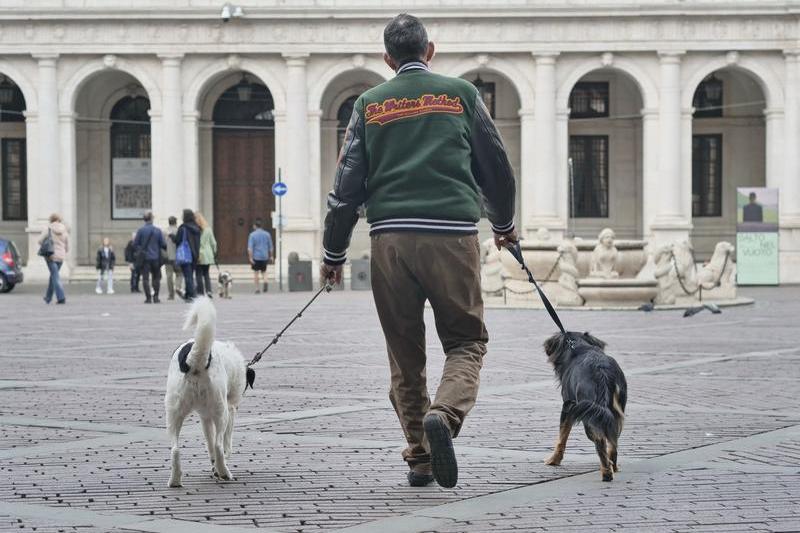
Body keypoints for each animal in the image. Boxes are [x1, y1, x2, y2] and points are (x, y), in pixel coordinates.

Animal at [166, 296, 256, 486]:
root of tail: (194, 359)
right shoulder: (230, 409)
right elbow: (225, 443)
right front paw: (218, 467)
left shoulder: (205, 417)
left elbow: (209, 441)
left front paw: (213, 466)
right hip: (221, 411)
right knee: (219, 445)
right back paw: (225, 472)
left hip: (173, 412)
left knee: (175, 449)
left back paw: (175, 479)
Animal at [544, 330, 624, 480]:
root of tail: (601, 370)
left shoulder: (568, 406)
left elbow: (562, 436)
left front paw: (554, 460)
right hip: (612, 412)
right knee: (613, 441)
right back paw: (614, 466)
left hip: (589, 414)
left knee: (600, 440)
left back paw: (607, 472)